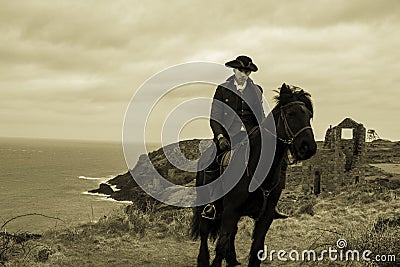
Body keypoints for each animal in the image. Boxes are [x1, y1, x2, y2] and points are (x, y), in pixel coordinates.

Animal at [192, 84, 318, 267]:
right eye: (291, 114)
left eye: (309, 115)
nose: (308, 147)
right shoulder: (231, 211)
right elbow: (221, 246)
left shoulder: (265, 216)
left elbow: (256, 248)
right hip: (206, 206)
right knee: (204, 231)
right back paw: (203, 260)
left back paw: (232, 259)